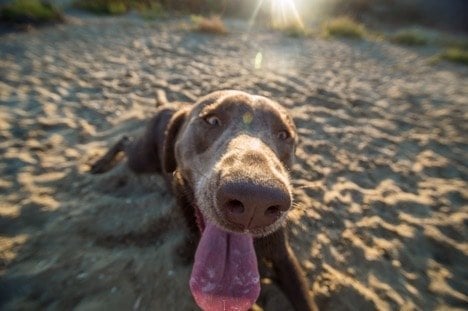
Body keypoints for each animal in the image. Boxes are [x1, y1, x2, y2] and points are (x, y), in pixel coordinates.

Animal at [90, 91, 318, 311]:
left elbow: (304, 299)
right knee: (125, 140)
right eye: (213, 121)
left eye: (283, 134)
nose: (255, 201)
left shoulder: (285, 257)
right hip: (141, 160)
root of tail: (169, 105)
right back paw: (101, 162)